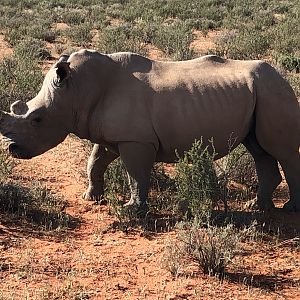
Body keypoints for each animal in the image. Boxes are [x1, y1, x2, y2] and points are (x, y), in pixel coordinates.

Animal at [0, 49, 300, 213]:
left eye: (37, 120)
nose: (13, 150)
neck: (76, 91)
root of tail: (282, 74)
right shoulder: (110, 135)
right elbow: (94, 162)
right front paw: (91, 198)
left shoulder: (135, 140)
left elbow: (135, 174)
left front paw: (132, 210)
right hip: (261, 93)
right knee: (259, 149)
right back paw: (257, 207)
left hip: (273, 90)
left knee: (281, 152)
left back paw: (288, 209)